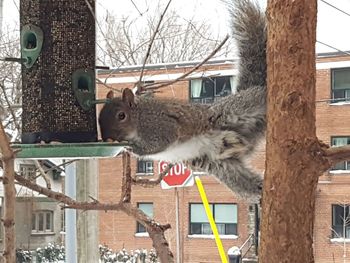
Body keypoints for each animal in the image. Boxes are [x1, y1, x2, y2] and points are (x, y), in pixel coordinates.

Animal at [100, 0, 266, 201]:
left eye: (121, 115)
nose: (106, 138)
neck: (139, 117)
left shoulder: (160, 125)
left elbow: (160, 142)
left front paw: (131, 149)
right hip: (221, 164)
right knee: (244, 182)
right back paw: (260, 193)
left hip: (234, 112)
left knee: (258, 97)